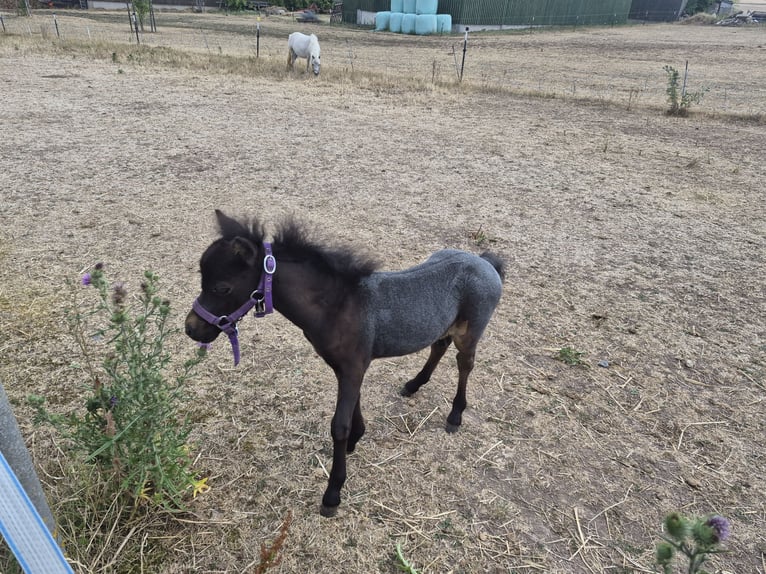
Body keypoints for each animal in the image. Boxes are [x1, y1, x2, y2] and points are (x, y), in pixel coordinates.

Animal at [185, 210, 505, 517]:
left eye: (222, 288)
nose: (191, 329)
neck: (337, 307)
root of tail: (485, 262)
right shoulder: (349, 367)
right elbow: (353, 409)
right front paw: (356, 440)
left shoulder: (352, 367)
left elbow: (339, 425)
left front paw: (333, 492)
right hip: (446, 325)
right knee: (439, 345)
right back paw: (414, 384)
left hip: (471, 330)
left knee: (465, 363)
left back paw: (455, 414)